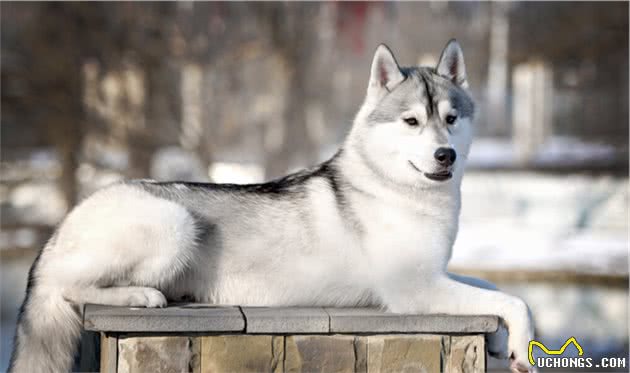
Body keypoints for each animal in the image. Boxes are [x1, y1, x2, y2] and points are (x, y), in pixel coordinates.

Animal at [8, 39, 532, 370]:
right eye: (411, 121)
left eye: (451, 118)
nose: (446, 155)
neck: (395, 187)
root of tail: (63, 223)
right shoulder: (413, 289)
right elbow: (513, 300)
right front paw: (521, 340)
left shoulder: (435, 275)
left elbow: (495, 288)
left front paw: (503, 341)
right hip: (173, 224)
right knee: (73, 290)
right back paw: (140, 295)